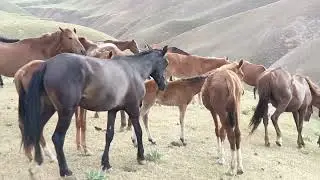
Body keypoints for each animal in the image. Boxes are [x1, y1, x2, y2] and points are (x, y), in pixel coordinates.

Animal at [17, 46, 169, 177]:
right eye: (166, 63)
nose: (164, 85)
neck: (133, 70)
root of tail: (48, 64)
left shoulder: (112, 111)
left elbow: (109, 135)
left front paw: (106, 163)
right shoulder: (133, 109)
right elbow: (139, 131)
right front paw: (141, 157)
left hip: (49, 109)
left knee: (37, 129)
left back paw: (37, 162)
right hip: (66, 112)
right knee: (57, 138)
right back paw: (65, 170)